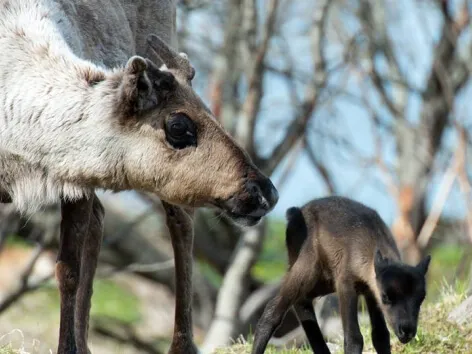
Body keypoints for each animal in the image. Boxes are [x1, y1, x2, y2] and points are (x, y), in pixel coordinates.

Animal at [253, 196, 430, 354]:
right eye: (386, 297)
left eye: (421, 298)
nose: (406, 331)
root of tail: (295, 212)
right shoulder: (346, 284)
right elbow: (354, 338)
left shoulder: (370, 291)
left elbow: (380, 336)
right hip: (308, 266)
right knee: (274, 309)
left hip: (323, 281)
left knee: (301, 301)